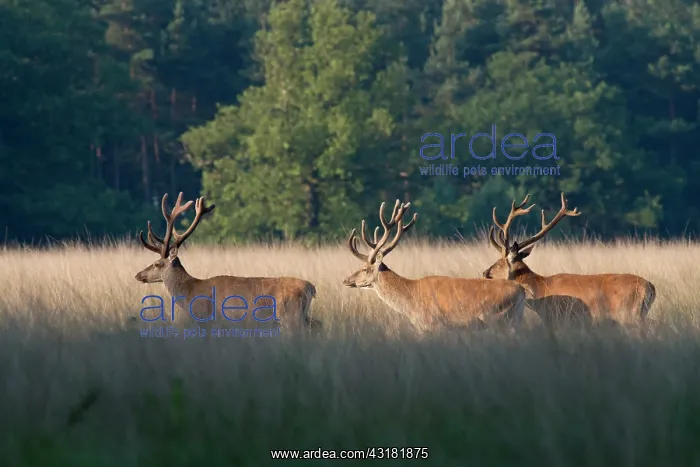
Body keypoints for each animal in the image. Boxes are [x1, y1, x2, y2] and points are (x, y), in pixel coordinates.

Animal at [135, 192, 320, 331]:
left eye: (157, 263)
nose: (138, 275)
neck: (190, 293)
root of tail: (311, 287)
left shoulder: (207, 320)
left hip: (291, 315)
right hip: (302, 315)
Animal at [342, 200, 527, 333]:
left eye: (364, 268)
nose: (345, 280)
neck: (410, 301)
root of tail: (521, 290)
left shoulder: (432, 325)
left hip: (499, 318)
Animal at [483, 193, 656, 329]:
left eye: (499, 262)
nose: (485, 273)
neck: (540, 288)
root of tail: (650, 288)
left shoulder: (559, 318)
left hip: (628, 314)